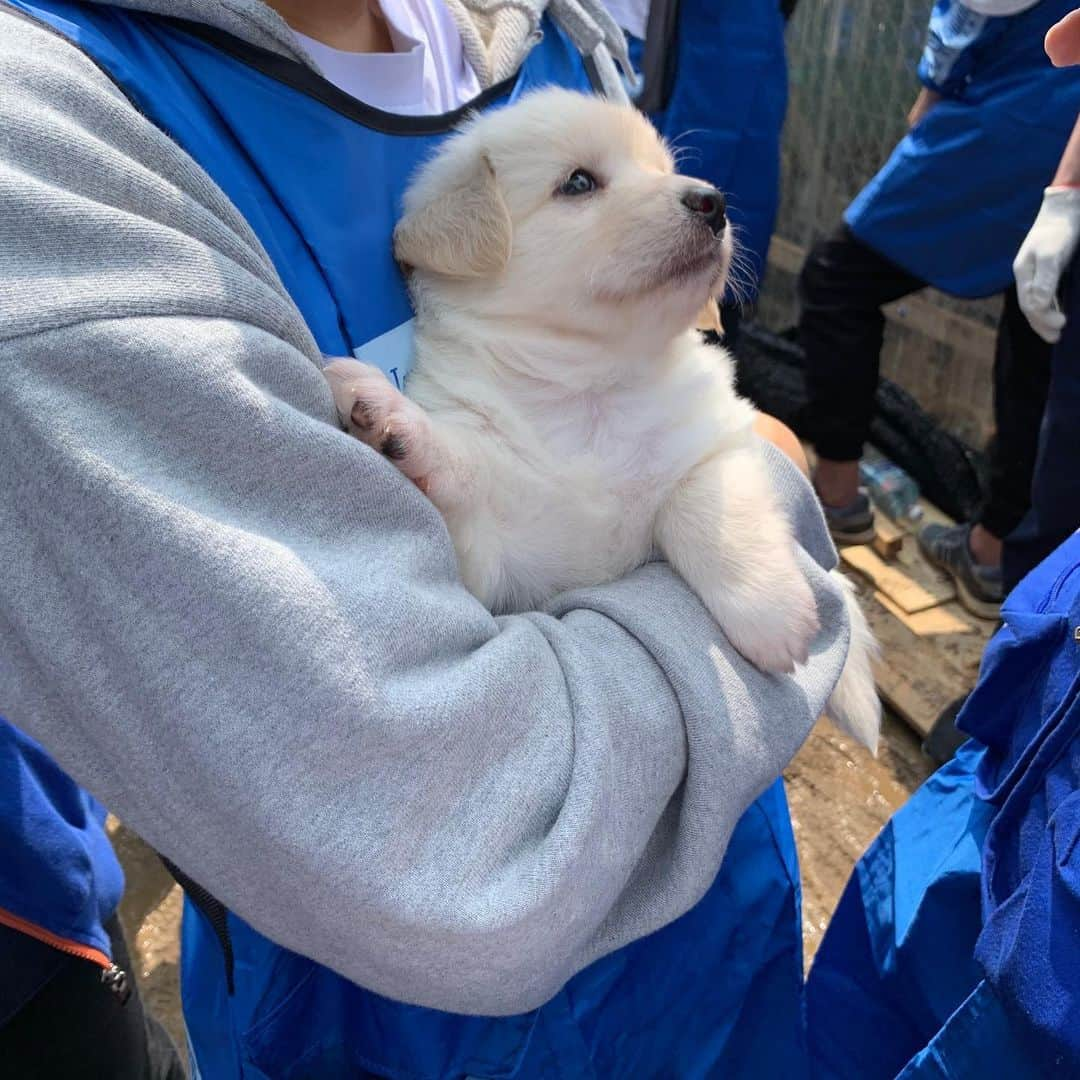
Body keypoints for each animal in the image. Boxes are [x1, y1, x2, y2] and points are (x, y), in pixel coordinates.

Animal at [324, 90, 881, 751]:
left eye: (664, 169)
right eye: (579, 182)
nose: (714, 202)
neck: (590, 389)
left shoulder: (717, 438)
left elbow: (703, 509)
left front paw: (769, 611)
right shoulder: (499, 568)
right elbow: (463, 475)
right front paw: (388, 420)